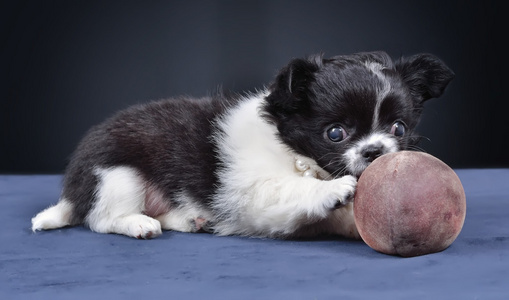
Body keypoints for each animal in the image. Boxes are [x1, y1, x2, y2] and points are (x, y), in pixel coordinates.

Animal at [30, 51, 452, 239]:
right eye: (336, 133)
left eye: (398, 128)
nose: (375, 151)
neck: (296, 154)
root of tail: (73, 193)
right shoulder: (253, 190)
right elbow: (293, 189)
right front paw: (333, 189)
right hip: (117, 174)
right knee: (101, 219)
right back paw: (137, 224)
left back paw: (189, 219)